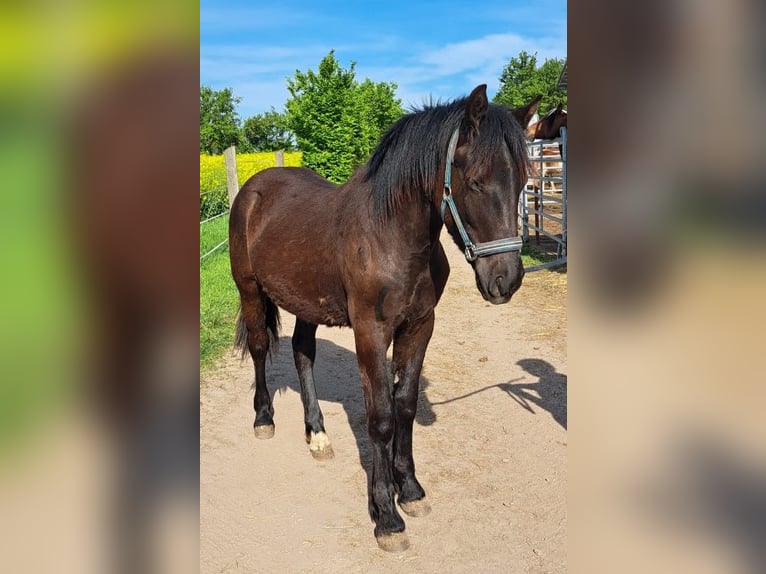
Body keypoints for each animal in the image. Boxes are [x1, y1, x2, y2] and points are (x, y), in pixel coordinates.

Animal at [231, 86, 536, 552]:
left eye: (522, 182)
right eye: (476, 182)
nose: (505, 280)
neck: (392, 237)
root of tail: (253, 188)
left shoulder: (419, 326)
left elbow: (405, 406)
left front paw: (408, 489)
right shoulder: (371, 333)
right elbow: (380, 417)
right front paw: (385, 515)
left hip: (306, 302)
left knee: (303, 354)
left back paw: (317, 435)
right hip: (249, 290)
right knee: (261, 347)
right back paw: (264, 419)